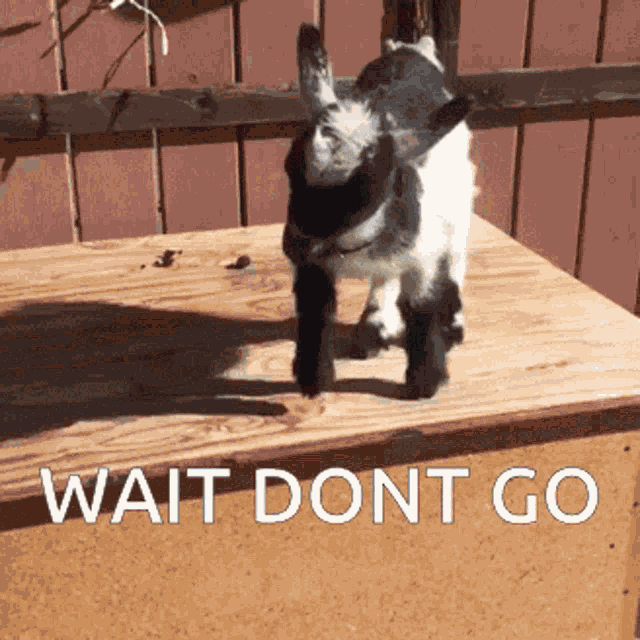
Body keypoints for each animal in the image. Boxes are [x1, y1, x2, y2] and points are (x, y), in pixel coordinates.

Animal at [283, 24, 477, 400]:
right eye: (288, 167)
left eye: (368, 193)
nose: (292, 246)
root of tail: (412, 50)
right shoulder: (314, 266)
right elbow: (316, 314)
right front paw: (314, 382)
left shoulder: (423, 256)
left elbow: (423, 308)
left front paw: (424, 384)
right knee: (384, 277)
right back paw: (374, 328)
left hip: (460, 199)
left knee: (456, 255)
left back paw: (453, 325)